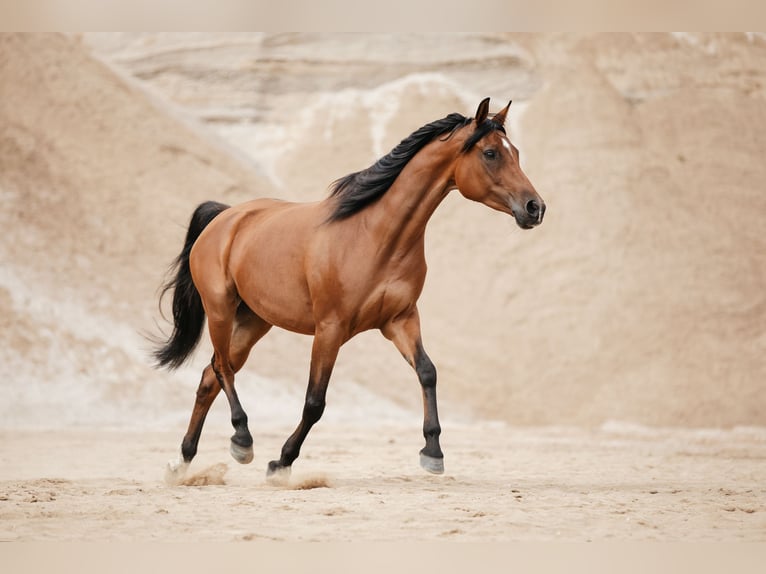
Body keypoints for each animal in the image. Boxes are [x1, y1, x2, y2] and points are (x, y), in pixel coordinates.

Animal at [158, 97, 544, 484]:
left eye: (515, 152)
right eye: (491, 153)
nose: (535, 208)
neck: (375, 236)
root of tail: (225, 218)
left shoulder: (400, 320)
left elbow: (428, 372)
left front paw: (432, 452)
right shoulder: (331, 328)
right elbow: (315, 402)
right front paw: (281, 463)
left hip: (254, 321)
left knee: (210, 377)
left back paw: (183, 462)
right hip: (220, 310)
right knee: (222, 368)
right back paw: (242, 440)